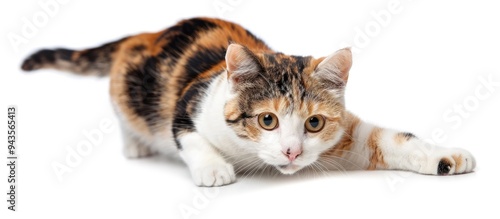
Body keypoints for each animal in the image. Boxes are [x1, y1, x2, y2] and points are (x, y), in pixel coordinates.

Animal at [21, 17, 474, 186]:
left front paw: (445, 156)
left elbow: (392, 138)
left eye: (314, 123)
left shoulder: (346, 136)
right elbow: (186, 133)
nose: (292, 152)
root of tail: (146, 34)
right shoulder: (193, 100)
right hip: (130, 89)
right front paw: (214, 169)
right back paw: (135, 145)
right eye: (267, 120)